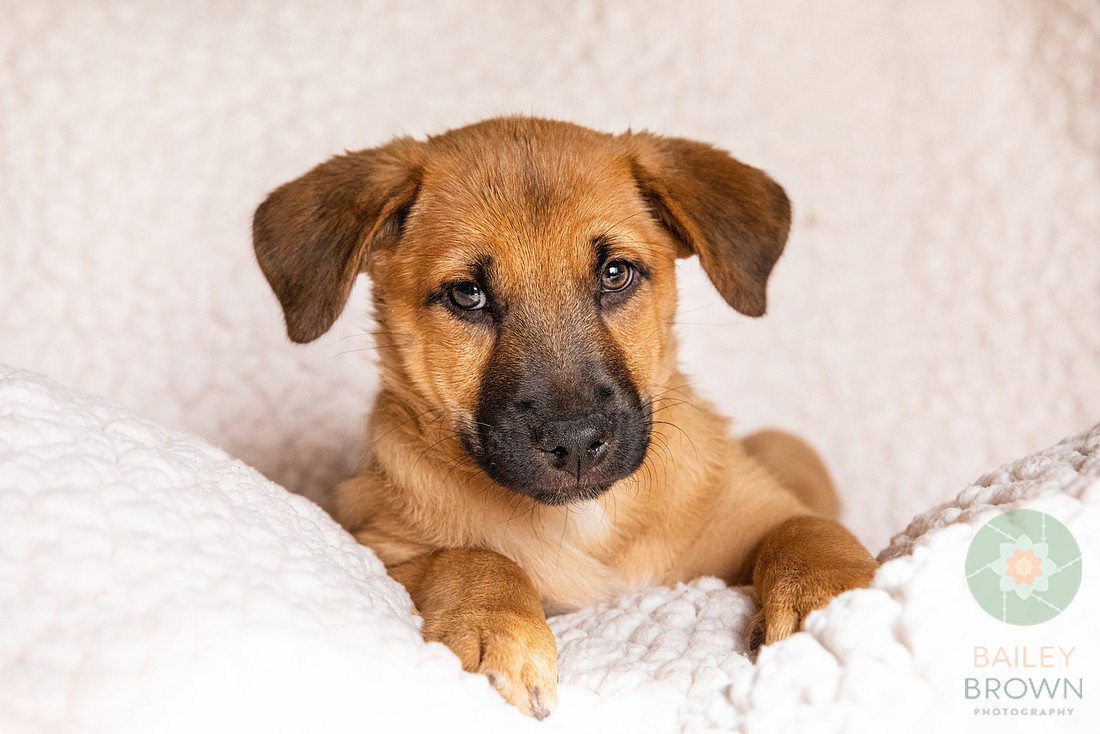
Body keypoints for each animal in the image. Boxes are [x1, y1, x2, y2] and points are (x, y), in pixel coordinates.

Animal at [252, 117, 877, 719]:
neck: (587, 520)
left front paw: (837, 607)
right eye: (466, 294)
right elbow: (472, 557)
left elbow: (812, 533)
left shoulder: (753, 515)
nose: (575, 443)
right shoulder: (372, 542)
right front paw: (498, 633)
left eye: (616, 274)